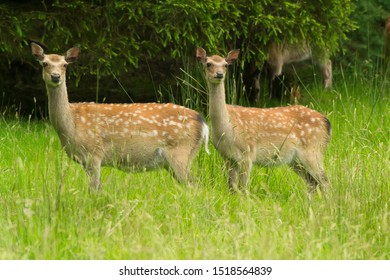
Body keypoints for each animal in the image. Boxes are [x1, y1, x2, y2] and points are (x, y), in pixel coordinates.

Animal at [31, 42, 209, 190]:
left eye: (65, 65)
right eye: (44, 63)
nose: (55, 76)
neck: (71, 125)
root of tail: (203, 122)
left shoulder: (94, 153)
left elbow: (94, 190)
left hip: (181, 152)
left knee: (196, 186)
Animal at [197, 47, 330, 194]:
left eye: (226, 65)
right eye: (208, 63)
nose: (219, 74)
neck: (226, 129)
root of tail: (326, 122)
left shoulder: (248, 153)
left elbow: (243, 188)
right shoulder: (228, 157)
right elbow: (231, 187)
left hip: (313, 150)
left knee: (325, 182)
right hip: (295, 160)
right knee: (312, 182)